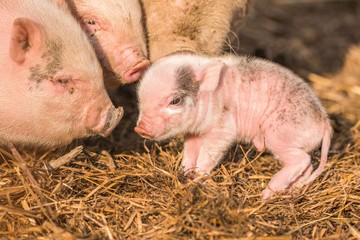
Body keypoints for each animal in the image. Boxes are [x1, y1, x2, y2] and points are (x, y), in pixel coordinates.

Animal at [135, 53, 332, 200]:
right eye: (140, 99)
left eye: (175, 101)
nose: (140, 128)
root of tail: (324, 121)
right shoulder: (193, 133)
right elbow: (190, 152)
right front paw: (183, 173)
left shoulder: (222, 130)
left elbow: (210, 153)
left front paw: (198, 177)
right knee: (308, 165)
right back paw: (292, 189)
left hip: (279, 136)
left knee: (301, 160)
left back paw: (265, 195)